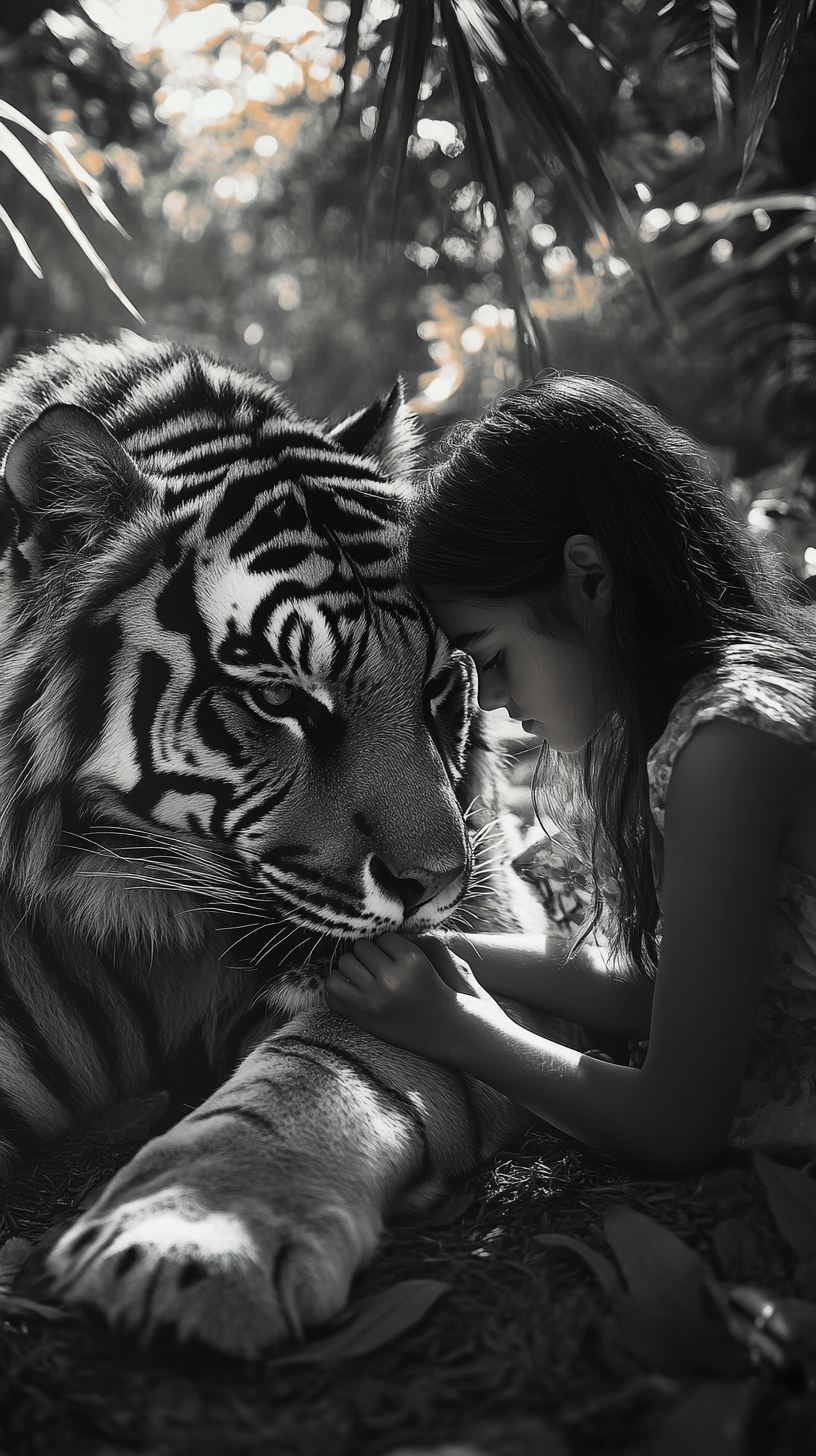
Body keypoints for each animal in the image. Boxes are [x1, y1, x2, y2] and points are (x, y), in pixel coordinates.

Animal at [0, 334, 550, 1356]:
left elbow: (326, 1068)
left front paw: (192, 1240)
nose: (437, 883)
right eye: (279, 698)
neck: (138, 893)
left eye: (440, 688)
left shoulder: (489, 930)